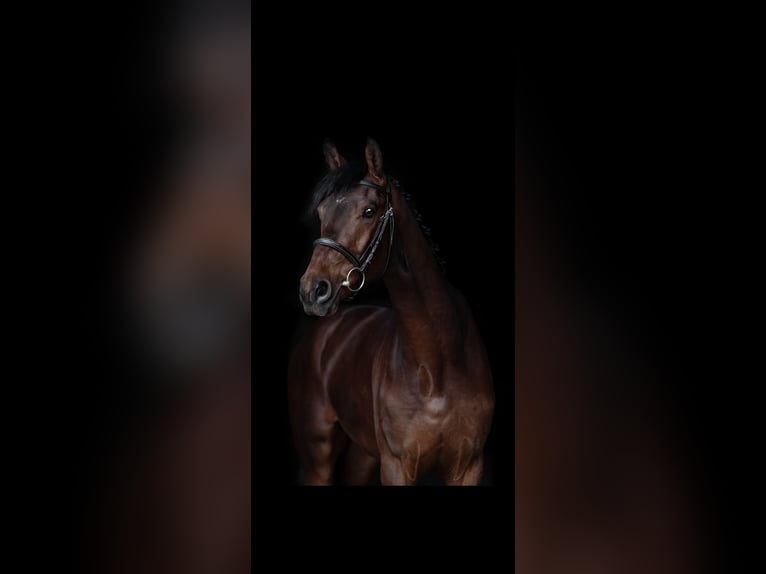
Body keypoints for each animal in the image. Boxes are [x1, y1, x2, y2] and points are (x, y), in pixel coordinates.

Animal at [288, 138, 494, 485]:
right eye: (321, 212)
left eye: (368, 211)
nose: (313, 290)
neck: (437, 366)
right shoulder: (397, 465)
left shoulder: (469, 467)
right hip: (318, 457)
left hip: (363, 455)